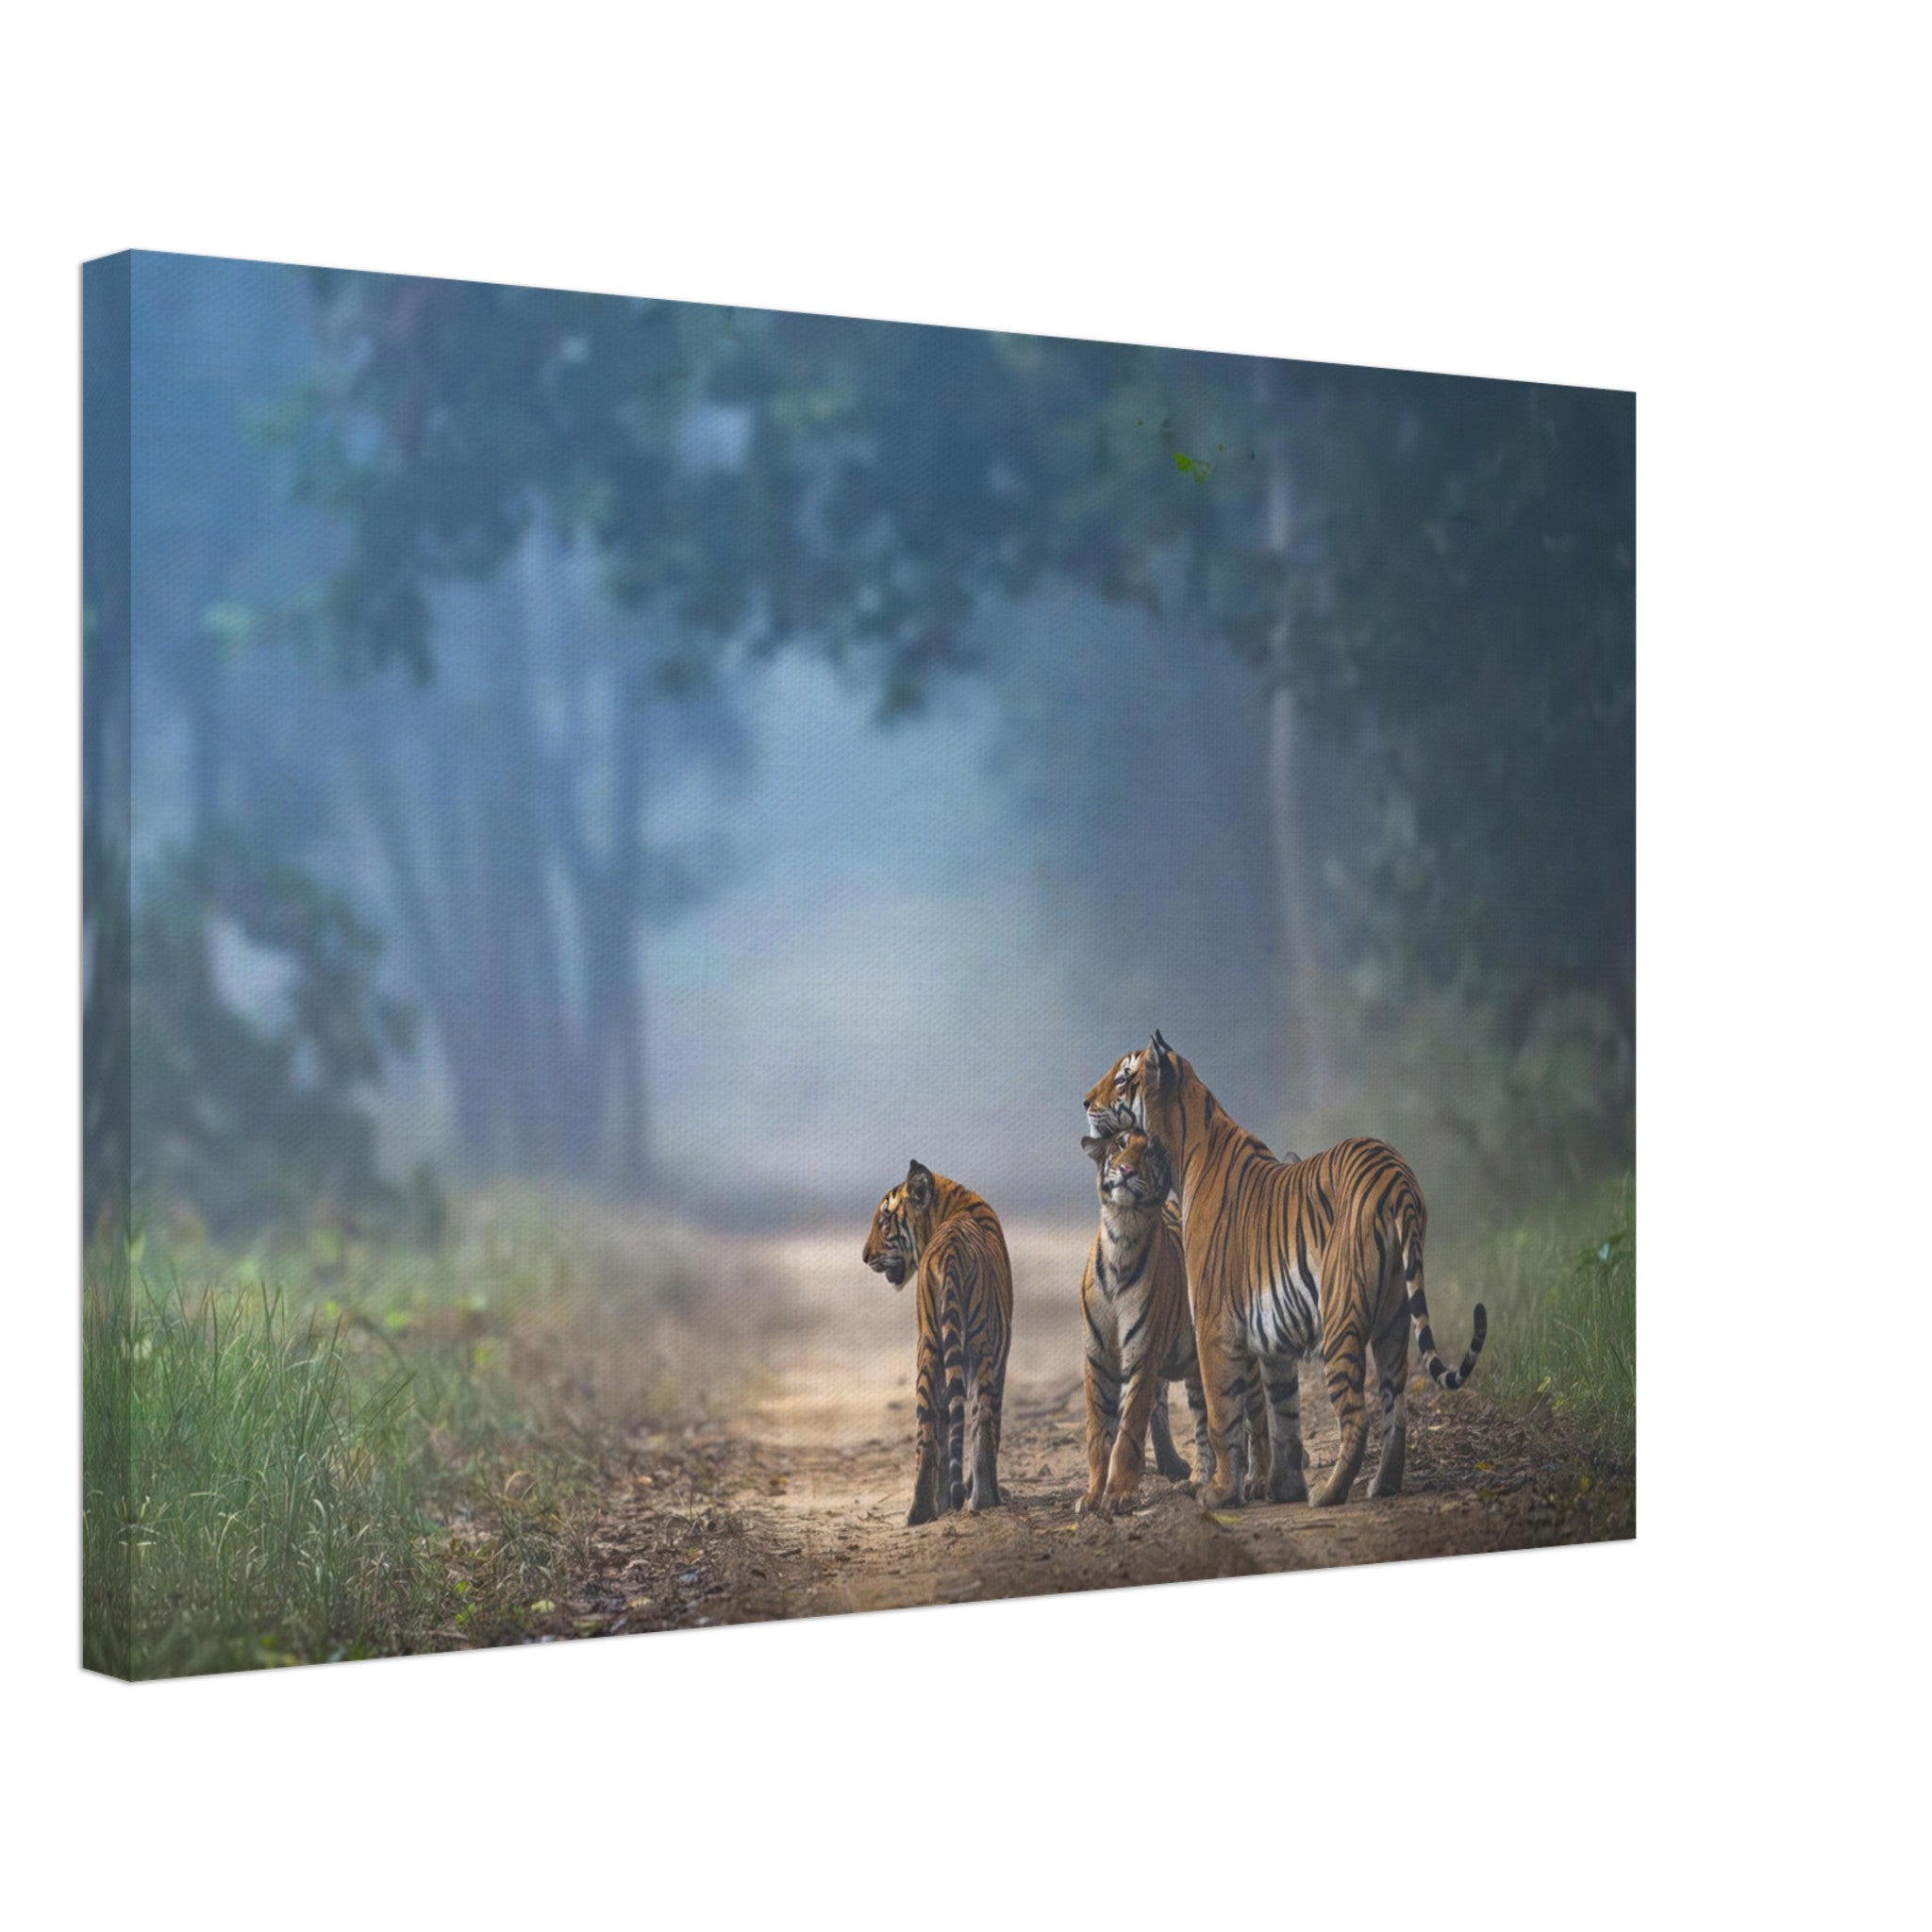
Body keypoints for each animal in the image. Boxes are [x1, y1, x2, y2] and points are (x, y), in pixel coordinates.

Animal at [862, 1159, 1014, 1525]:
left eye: (883, 1222)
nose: (865, 1256)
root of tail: (949, 1251)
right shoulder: (1000, 1356)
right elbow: (990, 1425)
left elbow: (947, 1428)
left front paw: (946, 1501)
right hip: (981, 1348)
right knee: (981, 1420)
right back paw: (985, 1499)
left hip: (929, 1348)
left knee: (928, 1432)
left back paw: (918, 1512)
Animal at [1076, 1124, 1268, 1516]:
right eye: (1119, 1146)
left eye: (1149, 1152)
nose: (1127, 1170)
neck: (1122, 1234)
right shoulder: (1097, 1359)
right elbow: (1098, 1435)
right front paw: (1092, 1495)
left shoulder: (1142, 1358)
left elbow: (1128, 1432)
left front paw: (1118, 1495)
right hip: (1197, 1371)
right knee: (1205, 1423)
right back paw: (1197, 1481)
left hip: (1244, 1357)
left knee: (1257, 1413)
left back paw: (1258, 1479)